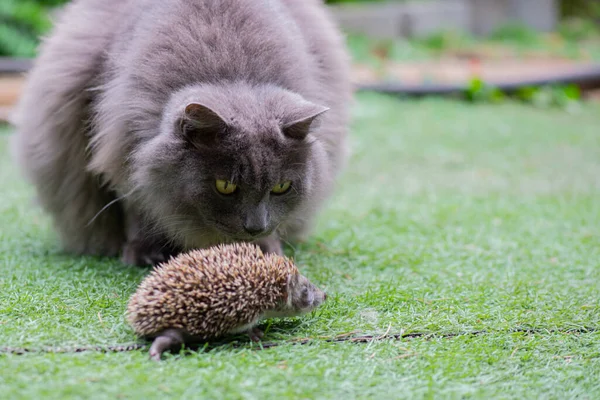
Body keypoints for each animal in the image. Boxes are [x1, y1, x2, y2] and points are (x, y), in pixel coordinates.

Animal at [10, 0, 352, 266]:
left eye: (281, 187)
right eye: (225, 186)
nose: (255, 227)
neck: (230, 73)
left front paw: (266, 250)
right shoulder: (122, 146)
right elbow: (136, 206)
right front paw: (142, 253)